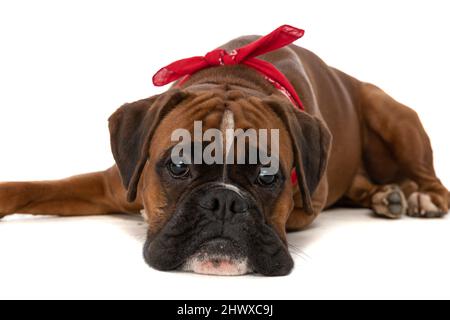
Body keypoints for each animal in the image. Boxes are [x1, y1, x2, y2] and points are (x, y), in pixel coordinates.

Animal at [0, 25, 448, 276]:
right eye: (178, 165)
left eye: (268, 175)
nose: (224, 201)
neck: (233, 76)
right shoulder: (112, 185)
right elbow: (39, 188)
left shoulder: (311, 202)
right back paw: (385, 195)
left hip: (387, 109)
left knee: (432, 182)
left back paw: (417, 196)